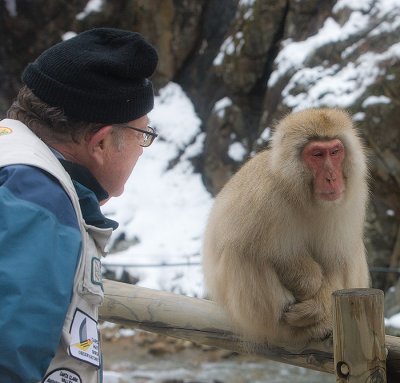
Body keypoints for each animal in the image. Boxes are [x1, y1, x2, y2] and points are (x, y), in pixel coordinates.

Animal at [202, 106, 370, 346]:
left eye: (335, 152)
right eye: (317, 154)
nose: (332, 177)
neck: (303, 196)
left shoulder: (351, 201)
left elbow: (336, 260)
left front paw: (315, 308)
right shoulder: (263, 196)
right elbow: (256, 248)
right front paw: (308, 278)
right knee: (241, 252)